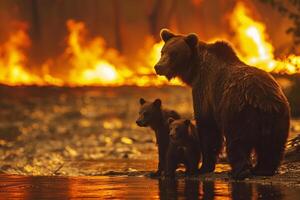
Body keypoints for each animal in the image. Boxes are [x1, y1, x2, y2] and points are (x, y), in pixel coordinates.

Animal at [154, 28, 290, 180]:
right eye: (163, 52)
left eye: (174, 54)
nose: (158, 67)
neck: (194, 71)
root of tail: (262, 99)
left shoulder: (205, 91)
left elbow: (208, 128)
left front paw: (204, 167)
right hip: (278, 116)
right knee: (272, 145)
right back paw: (263, 169)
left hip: (237, 111)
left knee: (237, 142)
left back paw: (239, 171)